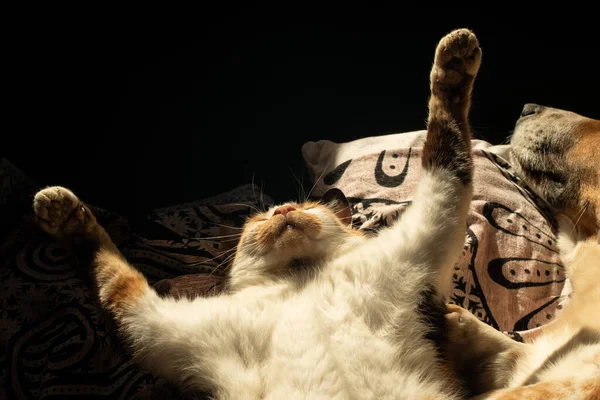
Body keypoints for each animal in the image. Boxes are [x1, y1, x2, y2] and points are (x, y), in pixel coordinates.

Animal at [32, 28, 482, 400]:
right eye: (256, 221)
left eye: (306, 206)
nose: (282, 209)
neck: (301, 279)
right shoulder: (154, 323)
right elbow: (113, 275)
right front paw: (64, 212)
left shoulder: (431, 221)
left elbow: (445, 143)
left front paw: (453, 65)